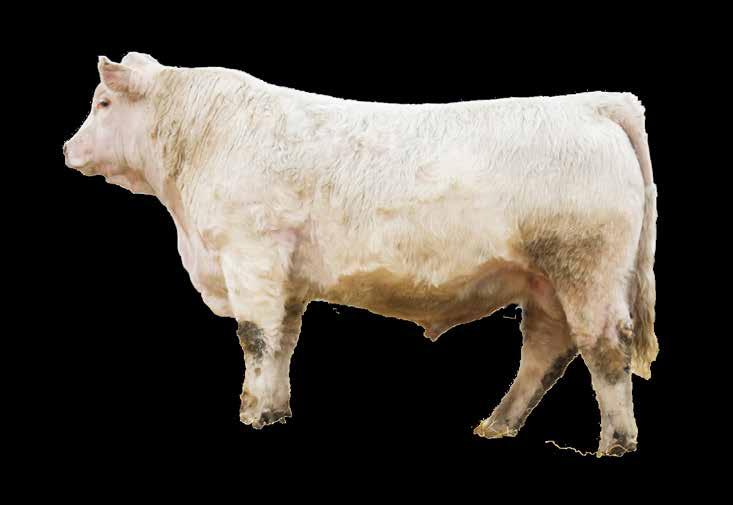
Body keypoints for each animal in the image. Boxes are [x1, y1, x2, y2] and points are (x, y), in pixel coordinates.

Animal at [64, 52, 658, 457]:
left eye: (102, 103)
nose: (68, 148)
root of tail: (591, 103)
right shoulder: (288, 277)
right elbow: (283, 339)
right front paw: (275, 410)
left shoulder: (250, 254)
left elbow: (256, 337)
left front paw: (251, 412)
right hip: (547, 281)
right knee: (547, 349)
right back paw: (498, 425)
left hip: (587, 269)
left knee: (605, 348)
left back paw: (615, 443)